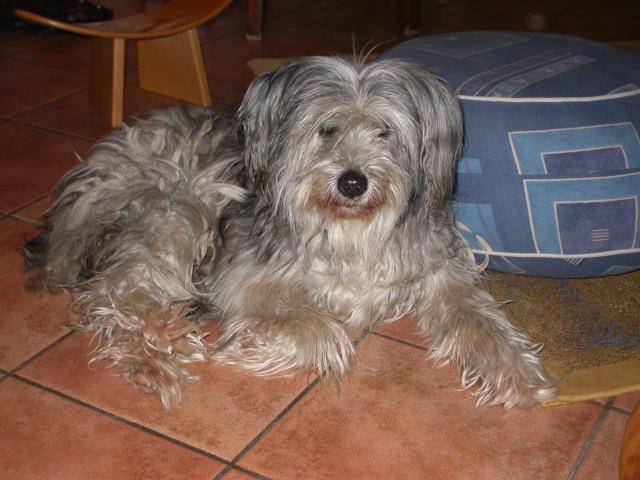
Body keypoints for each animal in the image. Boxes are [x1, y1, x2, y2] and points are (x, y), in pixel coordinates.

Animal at [25, 56, 557, 409]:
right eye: (327, 130)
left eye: (384, 132)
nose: (352, 181)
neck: (350, 228)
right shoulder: (244, 279)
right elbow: (324, 333)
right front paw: (247, 345)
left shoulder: (440, 274)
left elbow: (479, 318)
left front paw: (517, 372)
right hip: (183, 206)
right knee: (115, 295)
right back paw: (156, 354)